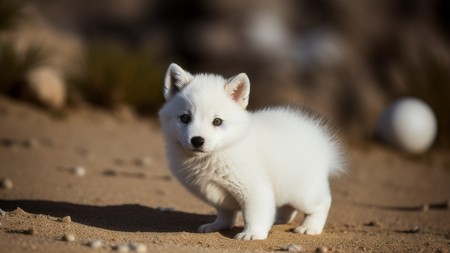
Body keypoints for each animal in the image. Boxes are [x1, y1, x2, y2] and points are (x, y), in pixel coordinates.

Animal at [158, 63, 344, 239]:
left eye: (217, 121)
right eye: (185, 118)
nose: (197, 140)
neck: (223, 151)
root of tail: (323, 144)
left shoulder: (254, 189)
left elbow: (253, 214)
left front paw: (252, 234)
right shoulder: (217, 196)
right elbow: (225, 214)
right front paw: (217, 226)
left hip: (304, 192)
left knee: (323, 203)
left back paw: (309, 227)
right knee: (288, 208)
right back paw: (277, 220)